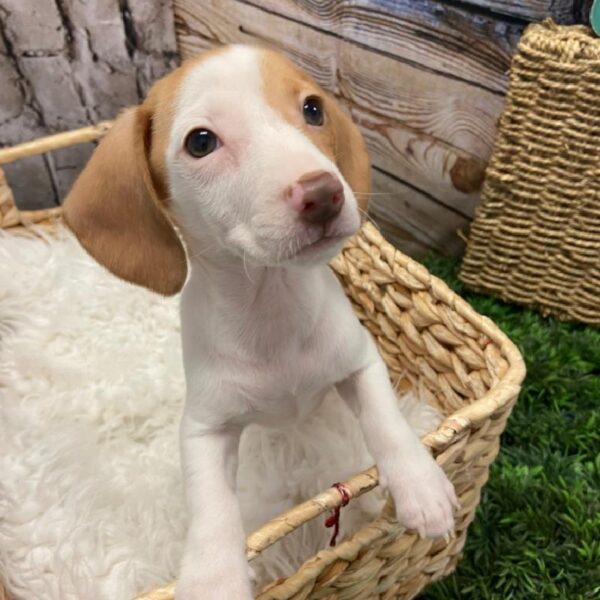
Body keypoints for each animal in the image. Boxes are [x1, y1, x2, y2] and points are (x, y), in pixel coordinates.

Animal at [62, 44, 454, 596]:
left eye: (313, 109)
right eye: (201, 141)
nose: (324, 194)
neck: (273, 306)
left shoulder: (361, 361)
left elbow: (387, 422)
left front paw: (421, 484)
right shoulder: (203, 427)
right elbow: (211, 504)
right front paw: (213, 575)